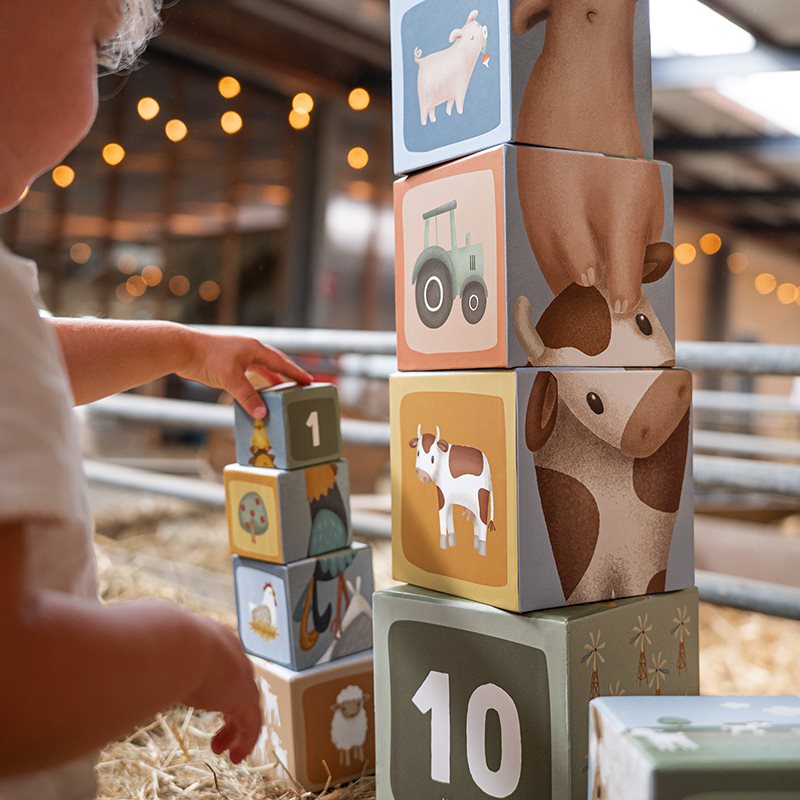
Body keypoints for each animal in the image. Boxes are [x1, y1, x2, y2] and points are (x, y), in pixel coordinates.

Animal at [412, 424, 494, 556]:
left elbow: (442, 518)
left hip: (481, 497)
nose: (422, 475)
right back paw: (476, 545)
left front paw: (443, 546)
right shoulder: (446, 497)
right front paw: (451, 543)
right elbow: (449, 518)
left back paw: (482, 551)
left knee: (482, 523)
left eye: (433, 458)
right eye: (418, 453)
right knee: (476, 522)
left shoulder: (442, 496)